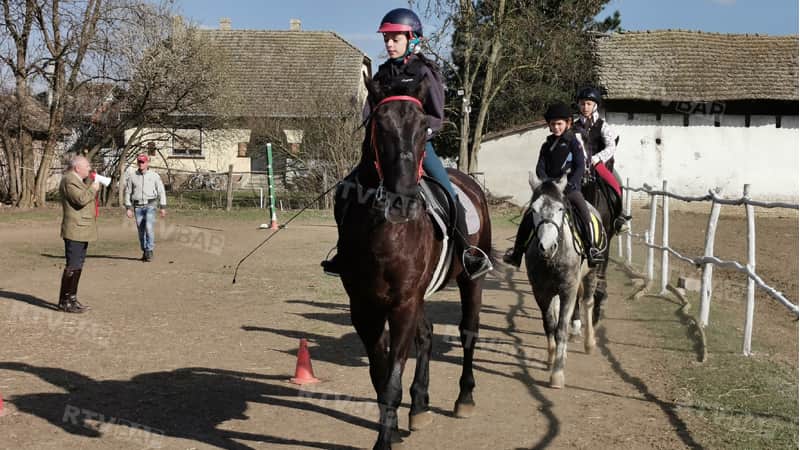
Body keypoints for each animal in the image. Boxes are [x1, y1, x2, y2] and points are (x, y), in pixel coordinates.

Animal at [334, 75, 490, 448]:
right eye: (379, 124)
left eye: (423, 126)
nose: (403, 202)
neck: (383, 232)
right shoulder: (364, 307)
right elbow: (380, 376)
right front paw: (392, 427)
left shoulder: (403, 303)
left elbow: (391, 380)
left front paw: (384, 441)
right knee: (427, 336)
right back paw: (419, 406)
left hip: (470, 281)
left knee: (468, 332)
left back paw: (465, 398)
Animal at [524, 171, 592, 388]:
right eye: (534, 209)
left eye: (560, 208)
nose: (546, 247)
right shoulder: (541, 291)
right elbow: (550, 325)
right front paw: (552, 359)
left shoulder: (568, 290)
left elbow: (561, 328)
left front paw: (557, 374)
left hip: (592, 274)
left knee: (588, 302)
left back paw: (590, 343)